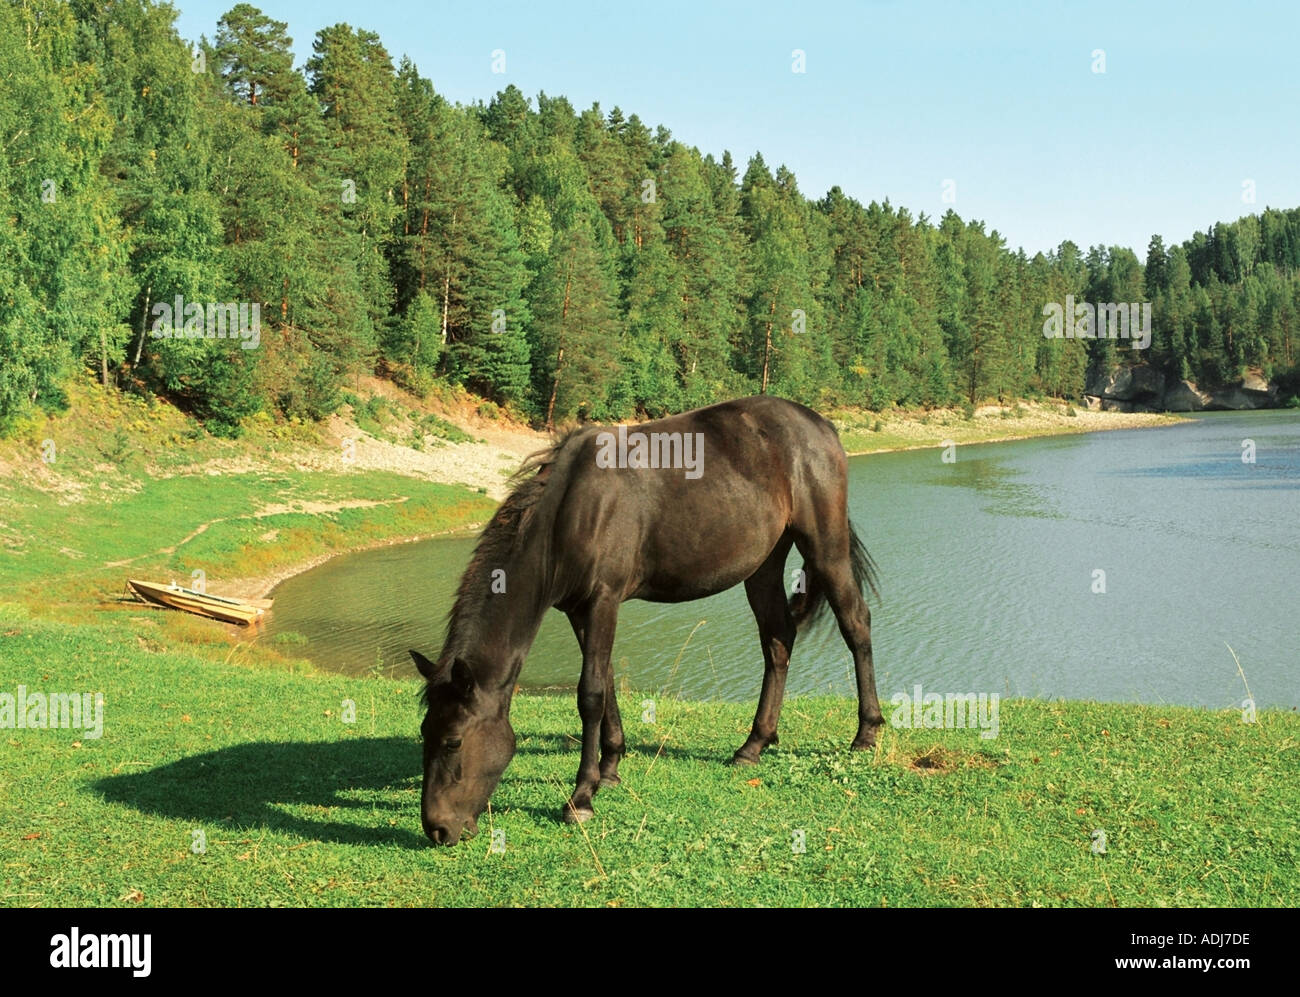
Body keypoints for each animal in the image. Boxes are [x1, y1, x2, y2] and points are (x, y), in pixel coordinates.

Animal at [416, 395, 883, 847]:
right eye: (424, 733)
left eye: (454, 740)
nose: (438, 829)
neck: (571, 511)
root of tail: (821, 425)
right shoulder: (579, 610)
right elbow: (605, 682)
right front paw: (609, 768)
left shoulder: (603, 600)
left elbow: (590, 694)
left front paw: (581, 798)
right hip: (763, 565)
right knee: (778, 640)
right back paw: (753, 744)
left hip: (825, 546)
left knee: (855, 623)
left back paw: (866, 733)